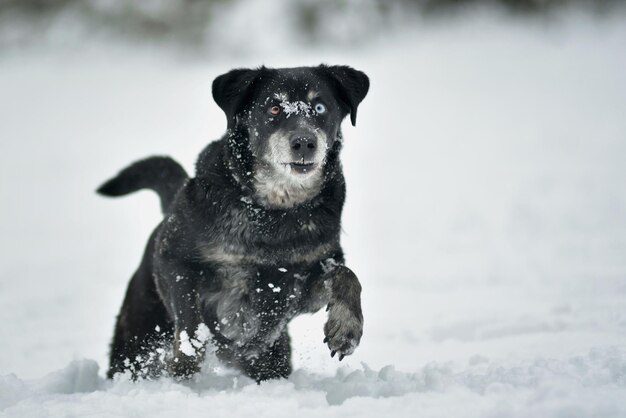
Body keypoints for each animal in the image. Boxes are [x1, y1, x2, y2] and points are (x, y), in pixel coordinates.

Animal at [97, 64, 368, 382]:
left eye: (320, 107)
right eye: (274, 108)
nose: (304, 142)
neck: (274, 208)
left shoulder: (299, 284)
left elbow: (346, 275)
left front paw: (346, 328)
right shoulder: (175, 260)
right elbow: (190, 323)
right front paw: (185, 365)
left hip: (272, 360)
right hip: (138, 338)